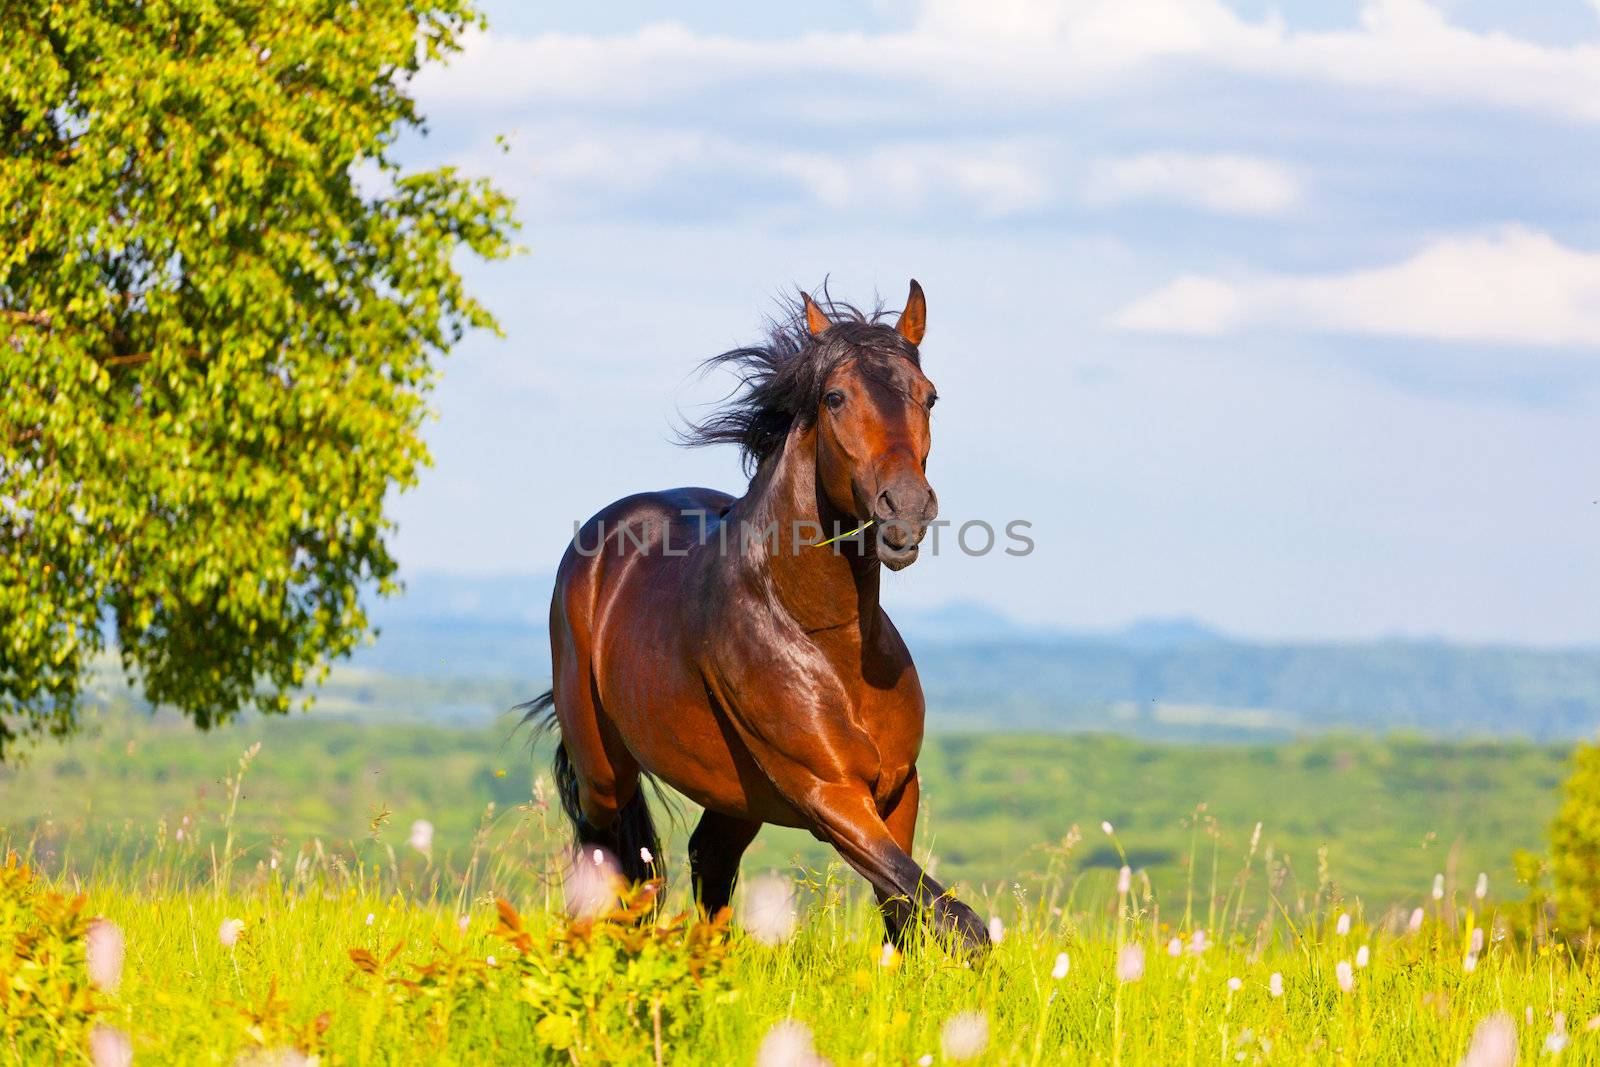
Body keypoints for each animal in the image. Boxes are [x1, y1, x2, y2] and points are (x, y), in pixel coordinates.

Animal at [518, 279, 985, 953]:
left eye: (929, 396)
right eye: (836, 397)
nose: (907, 510)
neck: (828, 640)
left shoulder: (897, 790)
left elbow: (908, 912)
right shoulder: (828, 793)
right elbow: (955, 918)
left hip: (734, 796)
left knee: (705, 860)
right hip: (603, 768)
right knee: (611, 861)